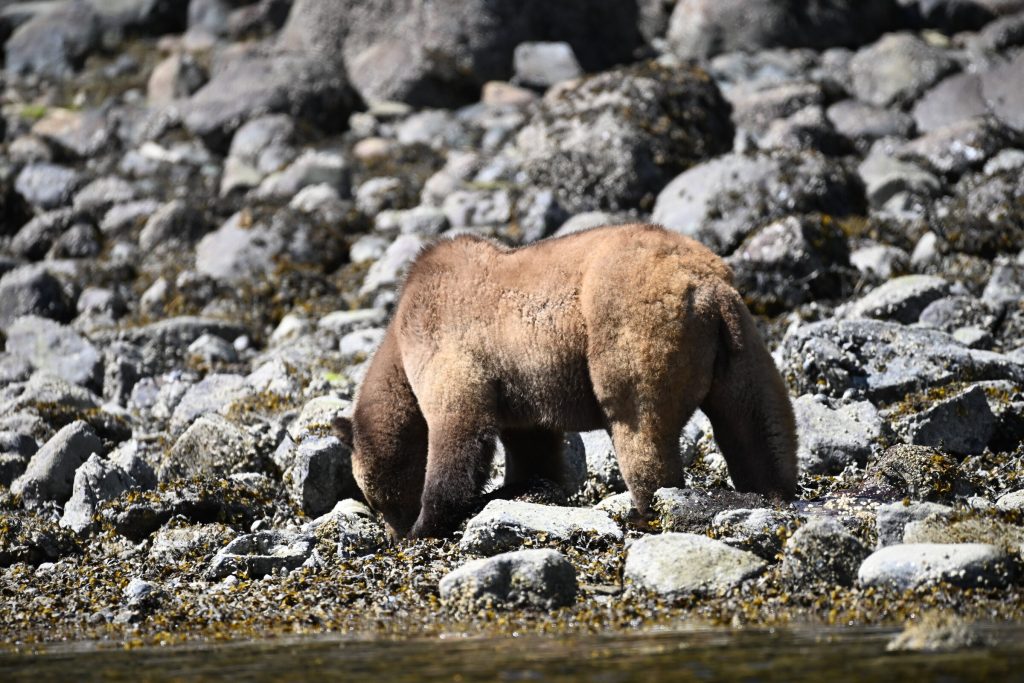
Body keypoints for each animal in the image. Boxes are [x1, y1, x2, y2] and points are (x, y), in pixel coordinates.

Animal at [333, 223, 798, 539]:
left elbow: (459, 429)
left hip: (631, 330)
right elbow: (533, 445)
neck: (398, 345)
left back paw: (644, 510)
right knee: (758, 423)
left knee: (639, 426)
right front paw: (526, 487)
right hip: (740, 341)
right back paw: (775, 491)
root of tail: (705, 286)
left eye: (374, 498)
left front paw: (427, 524)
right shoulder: (517, 387)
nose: (393, 530)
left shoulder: (449, 343)